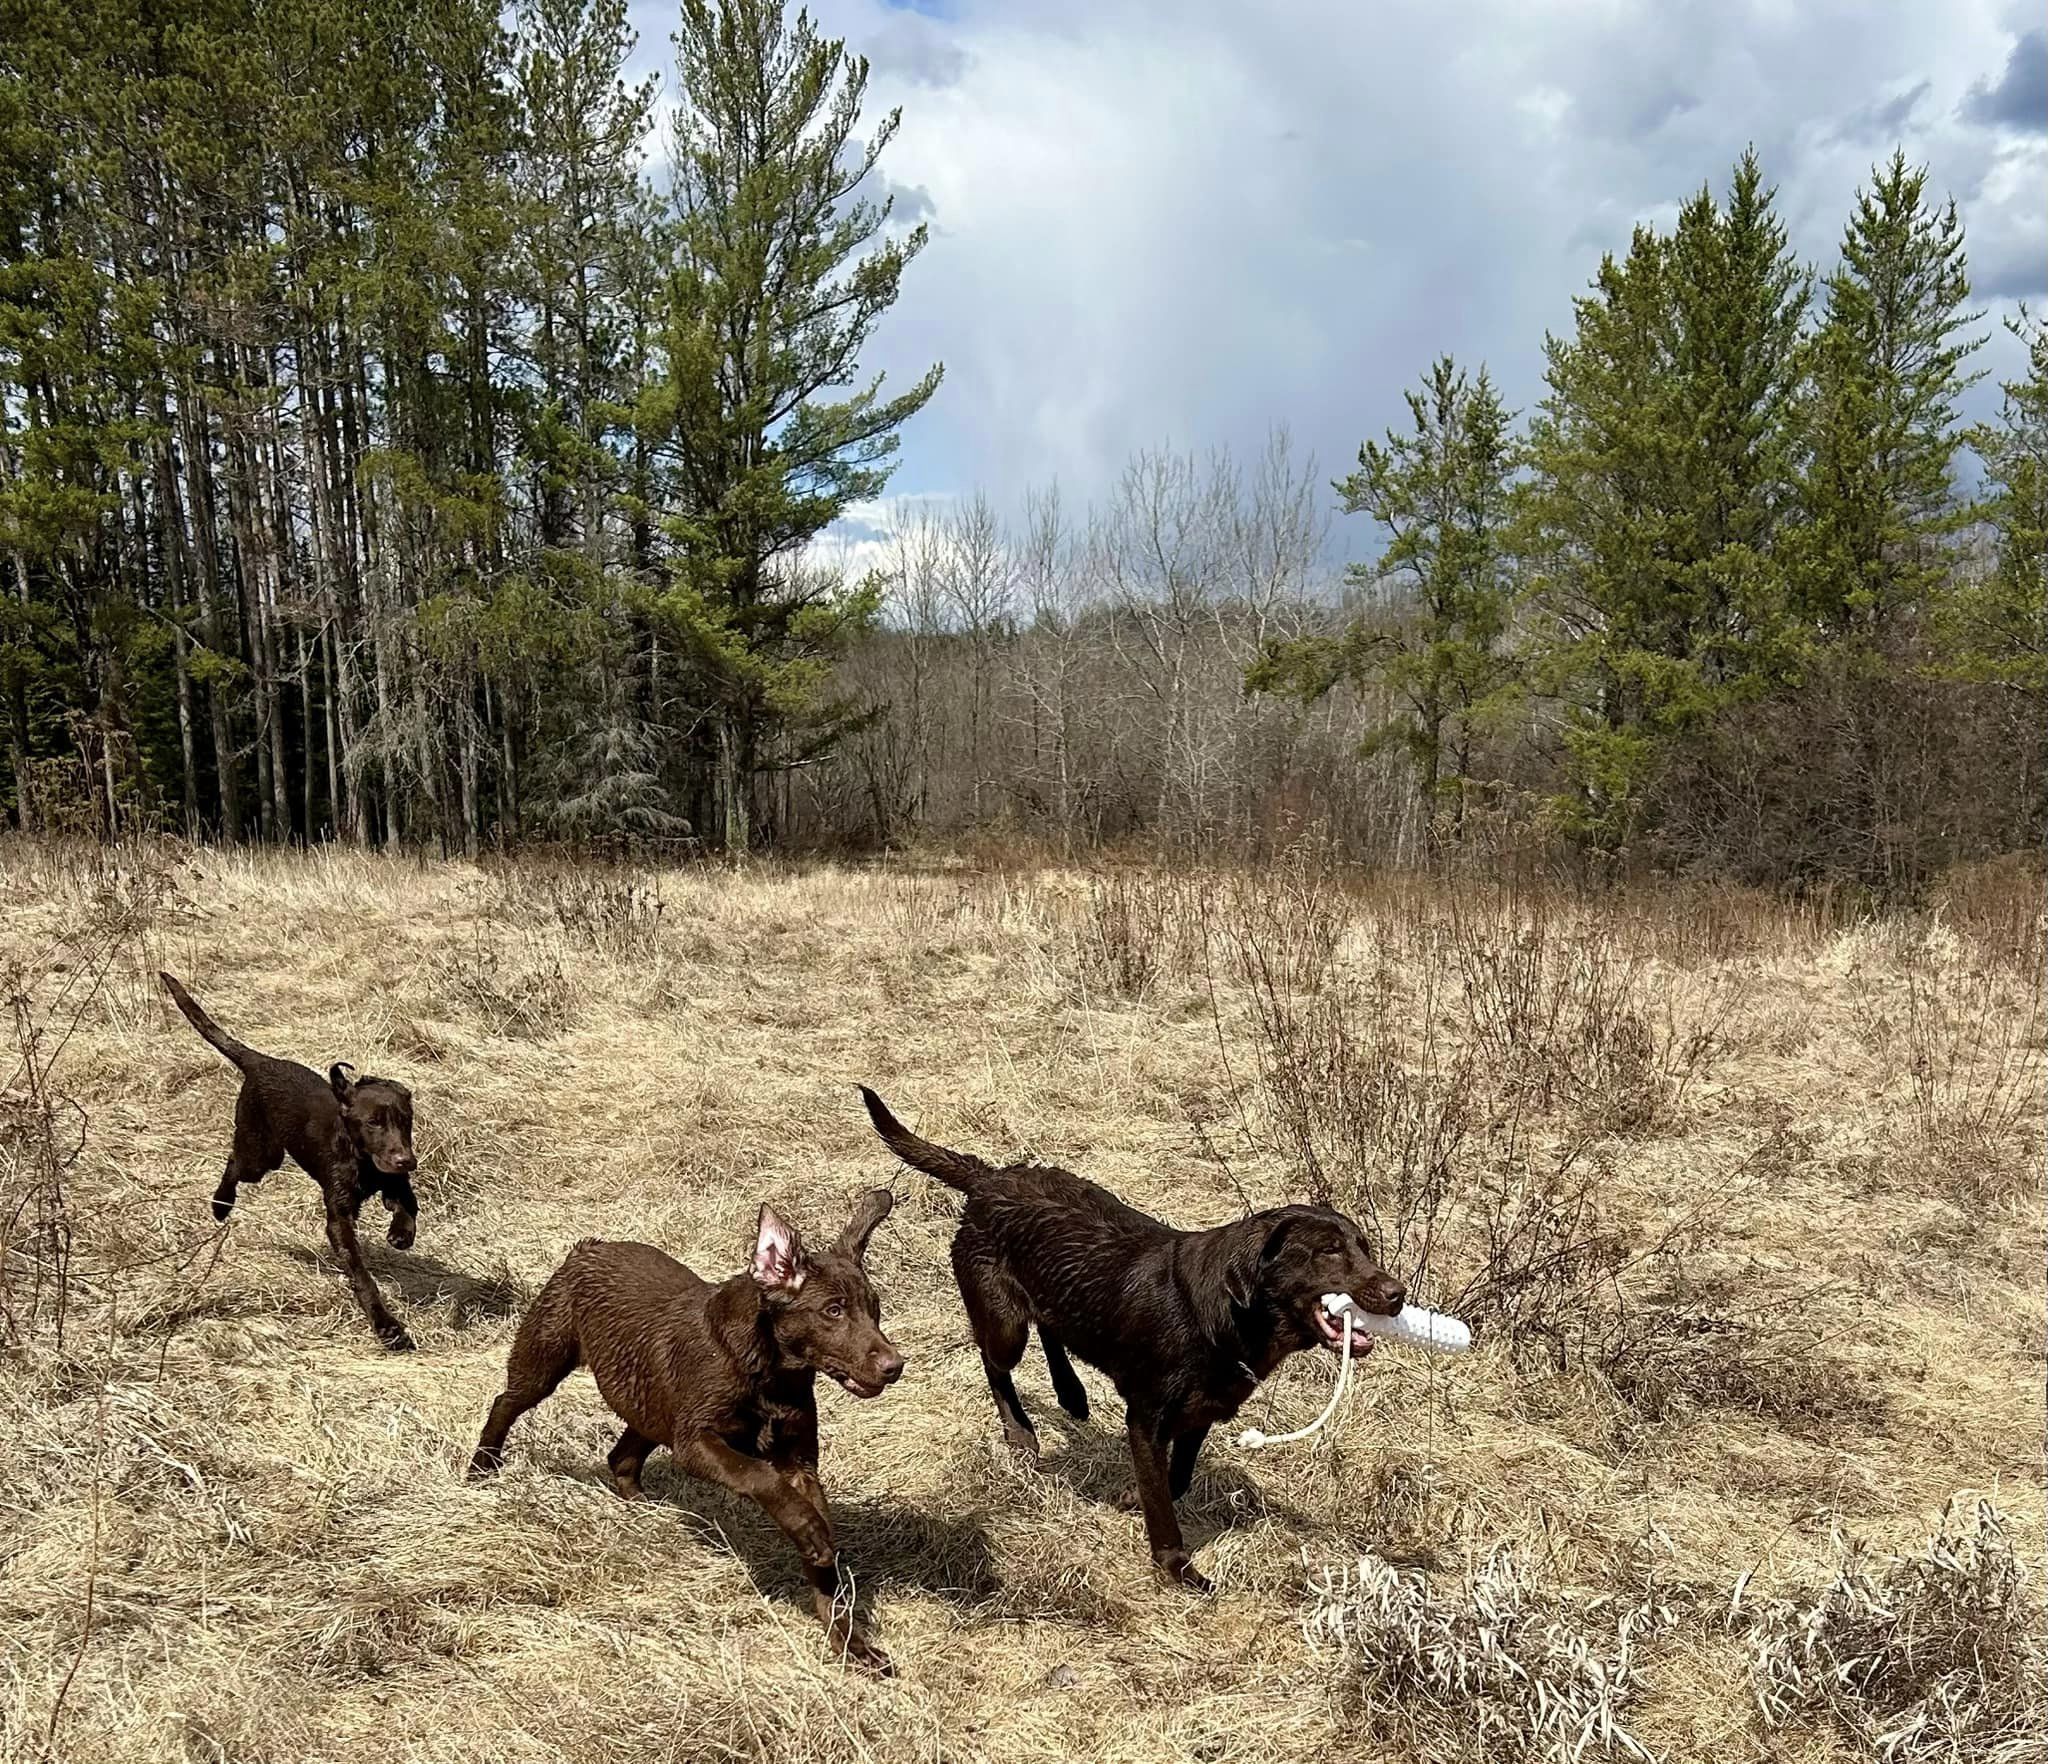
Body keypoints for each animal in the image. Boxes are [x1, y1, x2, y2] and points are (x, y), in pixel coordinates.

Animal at [161, 972, 420, 1349]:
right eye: (373, 1122)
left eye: (406, 1121)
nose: (407, 1160)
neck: (362, 1160)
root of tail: (261, 1062)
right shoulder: (339, 1217)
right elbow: (361, 1275)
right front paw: (387, 1327)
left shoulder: (393, 1180)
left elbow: (408, 1202)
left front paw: (401, 1234)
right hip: (261, 1155)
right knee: (234, 1163)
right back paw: (220, 1205)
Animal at [468, 1192, 905, 1672]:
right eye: (833, 1311)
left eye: (876, 1310)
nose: (895, 1367)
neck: (771, 1374)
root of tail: (588, 1247)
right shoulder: (697, 1443)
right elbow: (759, 1475)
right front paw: (810, 1531)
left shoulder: (799, 1464)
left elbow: (824, 1566)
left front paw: (851, 1643)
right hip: (546, 1360)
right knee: (504, 1403)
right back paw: (481, 1468)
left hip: (650, 1403)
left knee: (621, 1455)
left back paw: (642, 1508)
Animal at [859, 1087, 1404, 1592]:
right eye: (1328, 1252)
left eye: (1365, 1247)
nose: (1397, 1294)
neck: (1228, 1314)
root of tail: (989, 1178)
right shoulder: (1146, 1418)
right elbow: (1163, 1501)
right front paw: (1176, 1566)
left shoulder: (1198, 1415)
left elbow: (1177, 1478)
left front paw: (1134, 1497)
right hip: (1004, 1324)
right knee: (996, 1362)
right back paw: (1020, 1431)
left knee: (1052, 1326)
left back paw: (1072, 1393)